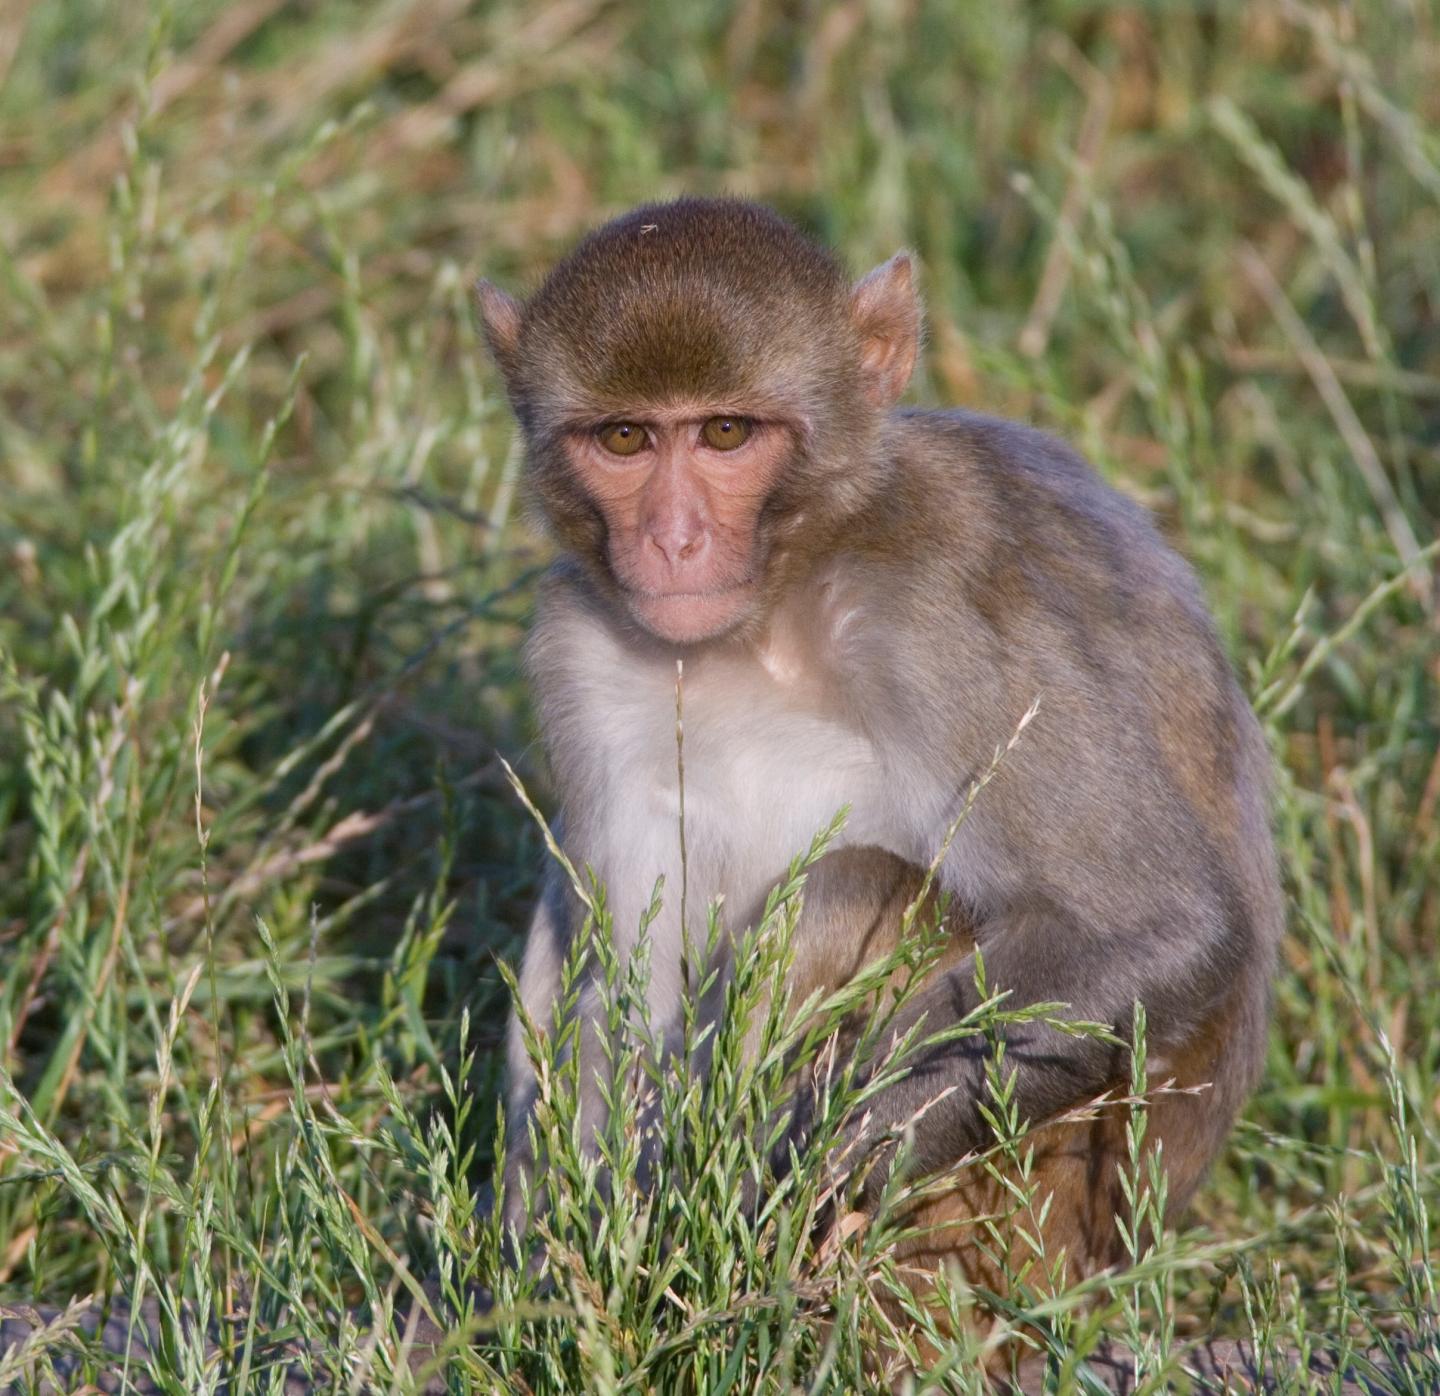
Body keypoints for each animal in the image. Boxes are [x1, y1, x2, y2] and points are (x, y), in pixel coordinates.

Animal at [475, 196, 1281, 1334]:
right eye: (625, 437)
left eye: (727, 432)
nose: (673, 541)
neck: (771, 610)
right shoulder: (579, 649)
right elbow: (617, 988)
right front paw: (567, 1291)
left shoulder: (939, 617)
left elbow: (1160, 926)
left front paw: (825, 1156)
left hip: (1024, 1222)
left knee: (849, 884)